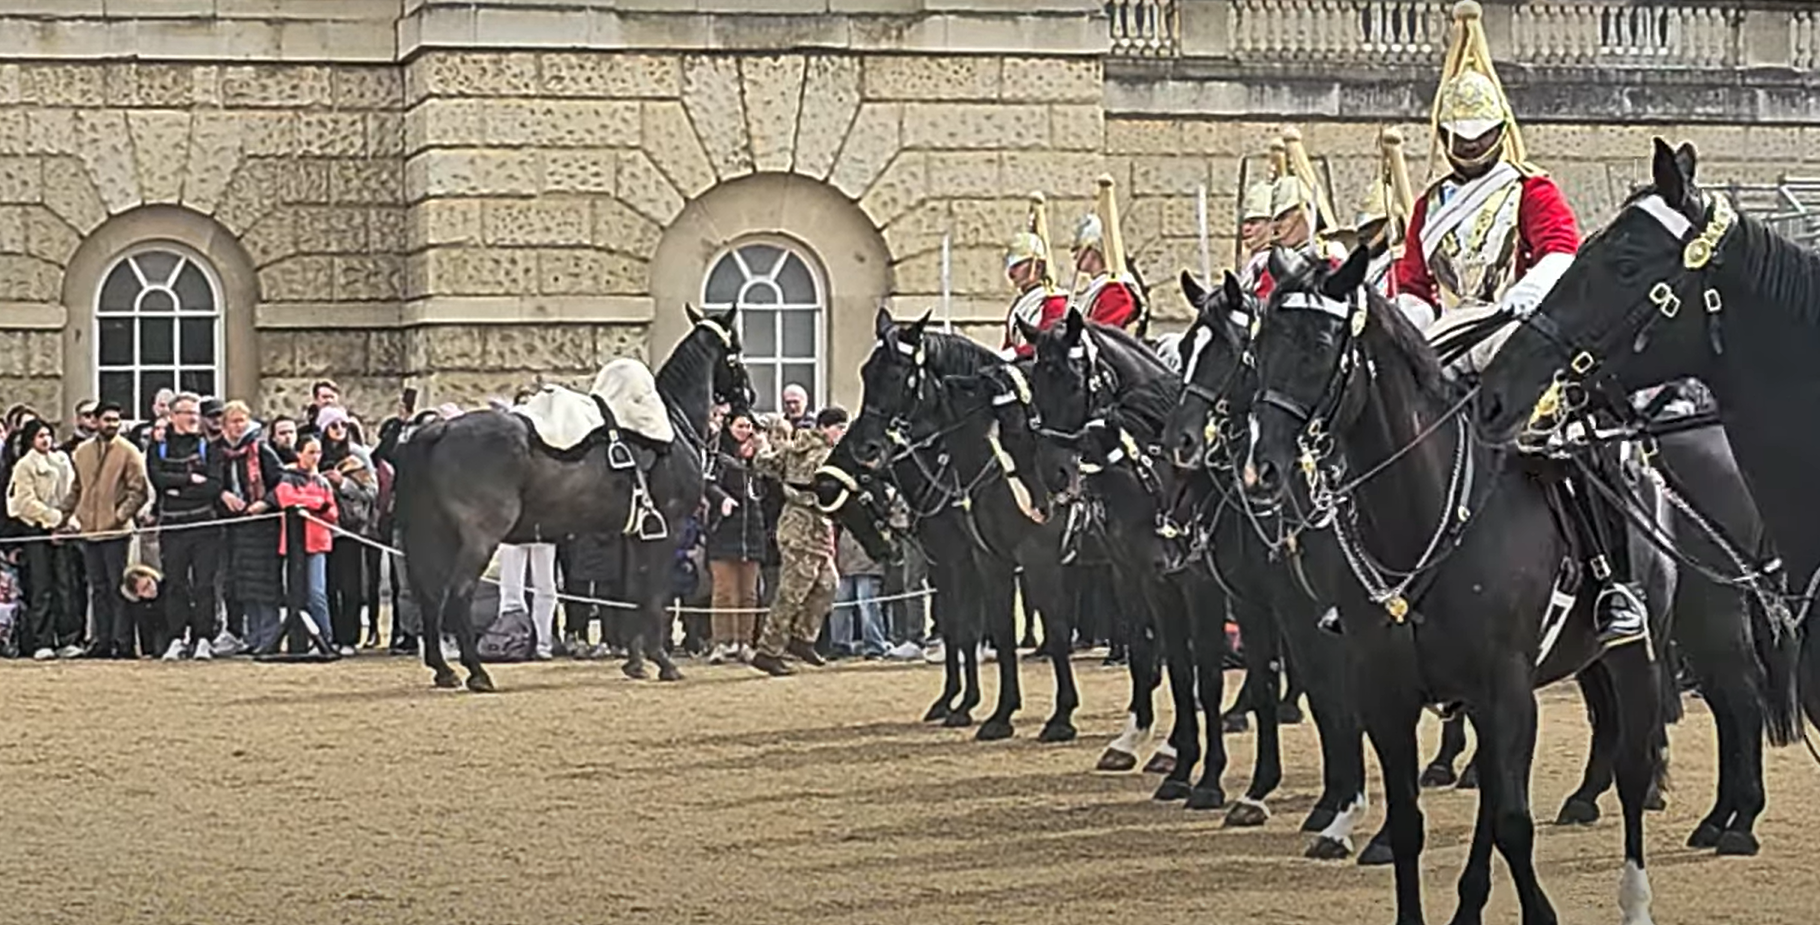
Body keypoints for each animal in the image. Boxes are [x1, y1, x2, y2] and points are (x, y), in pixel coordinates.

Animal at [394, 307, 749, 691]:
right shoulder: (668, 528)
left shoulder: (637, 535)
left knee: (431, 596)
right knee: (458, 595)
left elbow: (633, 595)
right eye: (736, 351)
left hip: (437, 535)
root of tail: (442, 428)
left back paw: (443, 669)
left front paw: (636, 662)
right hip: (479, 538)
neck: (668, 427)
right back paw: (477, 672)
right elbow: (654, 597)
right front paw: (662, 661)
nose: (749, 398)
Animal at [1244, 247, 1667, 925]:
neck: (1422, 510)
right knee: (1494, 790)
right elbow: (1411, 824)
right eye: (1259, 346)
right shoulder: (1389, 694)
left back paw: (1635, 899)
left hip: (1631, 655)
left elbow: (1516, 824)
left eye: (1318, 344)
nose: (1261, 468)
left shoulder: (1507, 689)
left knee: (1629, 769)